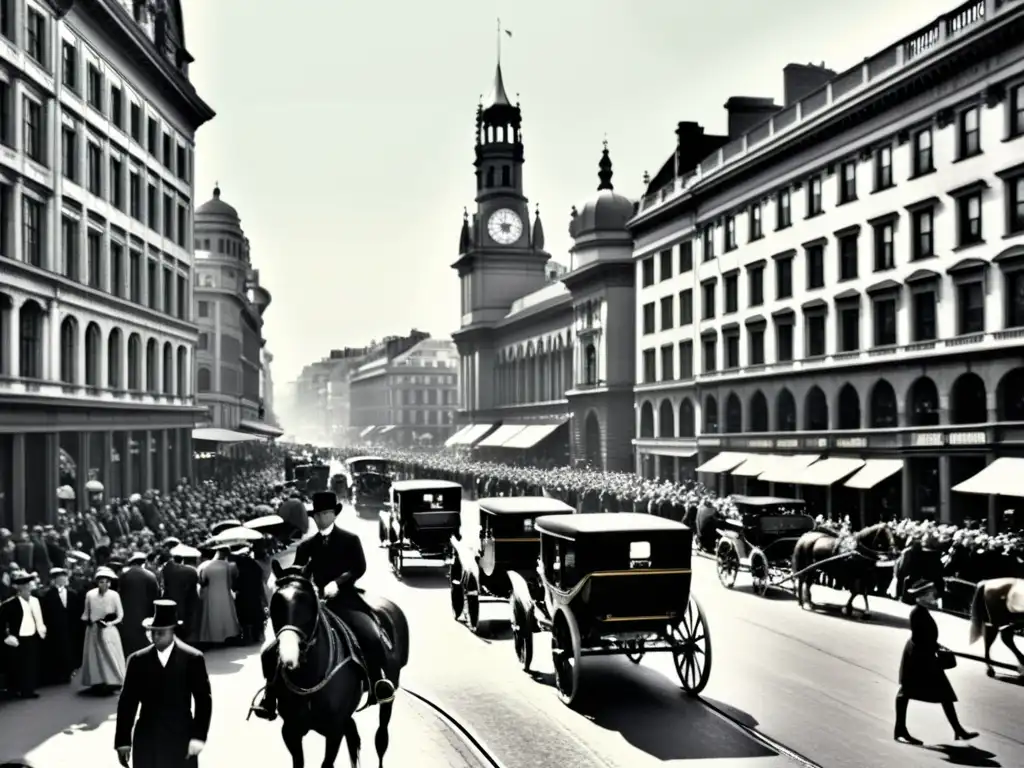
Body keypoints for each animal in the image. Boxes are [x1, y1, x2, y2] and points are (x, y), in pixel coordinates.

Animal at [264, 561, 411, 768]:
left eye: (307, 603)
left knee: (381, 737)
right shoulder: (290, 731)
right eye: (275, 603)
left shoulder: (334, 731)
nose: (289, 655)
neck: (309, 680)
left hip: (388, 693)